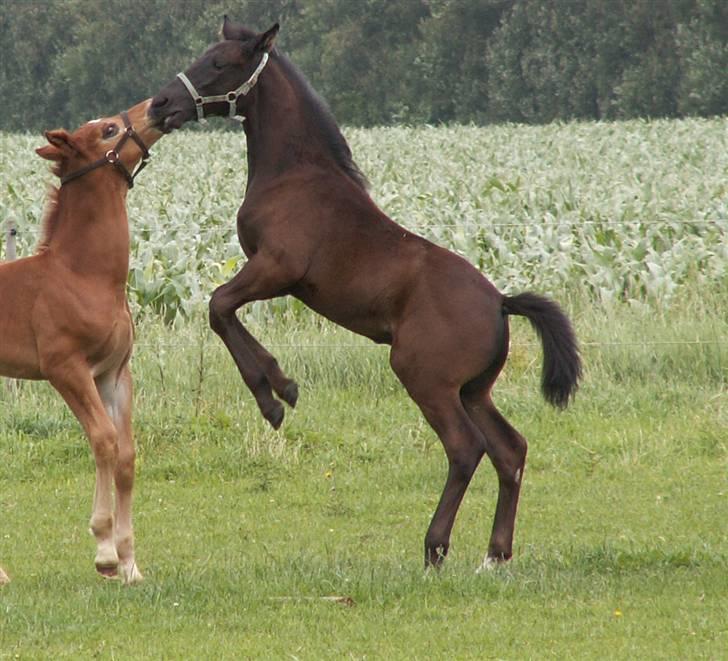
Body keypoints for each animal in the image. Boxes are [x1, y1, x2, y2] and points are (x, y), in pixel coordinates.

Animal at [0, 98, 160, 584]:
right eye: (108, 130)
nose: (158, 106)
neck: (83, 275)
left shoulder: (114, 372)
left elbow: (125, 452)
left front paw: (129, 563)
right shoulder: (64, 368)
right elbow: (102, 439)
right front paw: (105, 552)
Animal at [152, 19, 580, 568]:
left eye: (220, 63)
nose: (161, 103)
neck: (297, 174)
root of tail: (500, 303)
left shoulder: (275, 269)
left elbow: (218, 305)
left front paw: (276, 396)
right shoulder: (269, 275)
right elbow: (222, 308)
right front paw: (283, 389)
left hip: (426, 380)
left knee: (466, 448)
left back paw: (435, 547)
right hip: (473, 390)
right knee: (511, 448)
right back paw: (495, 555)